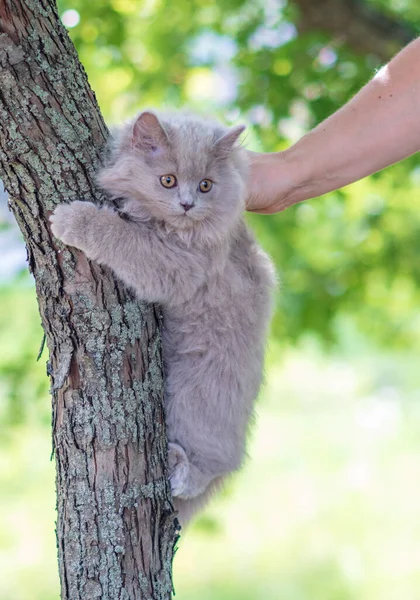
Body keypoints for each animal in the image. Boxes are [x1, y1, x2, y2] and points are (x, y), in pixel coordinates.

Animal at [50, 111, 276, 524]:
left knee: (213, 463)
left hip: (197, 395)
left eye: (205, 185)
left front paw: (74, 219)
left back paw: (179, 468)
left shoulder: (174, 265)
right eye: (167, 180)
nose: (187, 204)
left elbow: (122, 237)